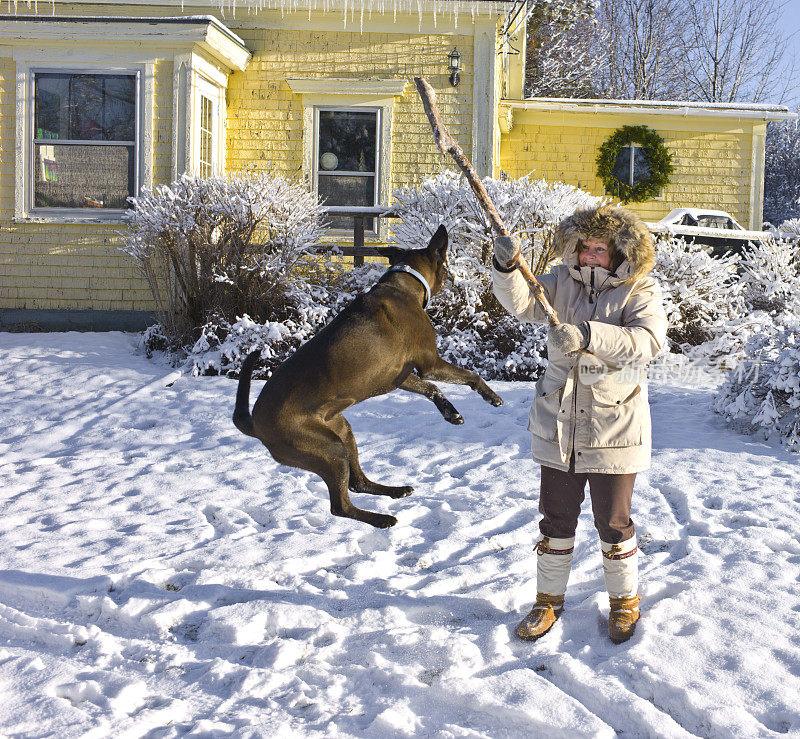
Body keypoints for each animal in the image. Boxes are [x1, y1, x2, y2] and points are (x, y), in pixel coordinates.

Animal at [231, 225, 504, 528]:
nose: (456, 279)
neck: (404, 284)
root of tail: (254, 423)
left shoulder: (400, 376)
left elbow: (432, 388)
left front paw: (451, 412)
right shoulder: (429, 362)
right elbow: (469, 375)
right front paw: (491, 396)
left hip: (341, 430)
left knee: (357, 482)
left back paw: (394, 490)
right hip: (328, 447)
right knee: (340, 506)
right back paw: (381, 519)